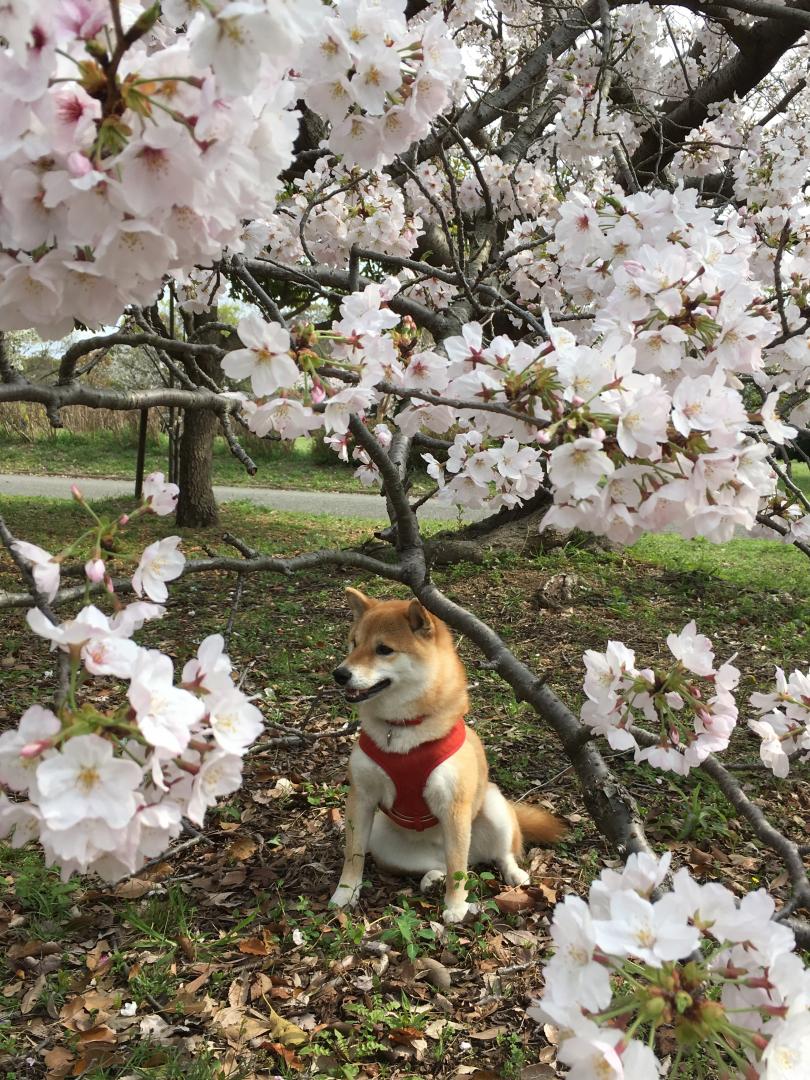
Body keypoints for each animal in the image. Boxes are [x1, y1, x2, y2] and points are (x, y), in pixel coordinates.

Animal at [330, 587, 565, 924]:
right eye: (353, 643)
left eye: (384, 649)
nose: (340, 674)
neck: (400, 731)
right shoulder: (361, 798)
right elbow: (353, 854)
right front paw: (346, 892)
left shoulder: (454, 808)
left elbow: (458, 869)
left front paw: (456, 906)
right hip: (384, 840)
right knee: (442, 863)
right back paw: (432, 878)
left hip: (492, 807)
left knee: (494, 855)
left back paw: (513, 874)